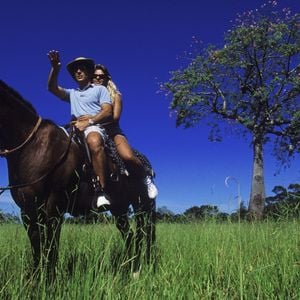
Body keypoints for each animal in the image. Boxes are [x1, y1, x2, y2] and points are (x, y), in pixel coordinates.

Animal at [0, 80, 157, 278]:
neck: (33, 146)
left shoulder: (54, 208)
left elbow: (50, 248)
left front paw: (49, 280)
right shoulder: (28, 211)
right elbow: (37, 249)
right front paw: (36, 280)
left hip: (143, 205)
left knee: (146, 235)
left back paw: (140, 268)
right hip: (120, 208)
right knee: (131, 236)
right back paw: (130, 268)